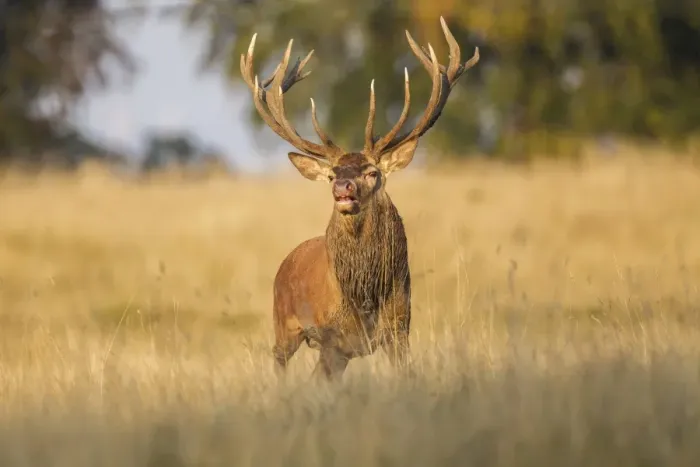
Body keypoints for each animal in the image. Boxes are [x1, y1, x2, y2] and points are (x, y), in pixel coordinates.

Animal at [240, 17, 479, 380]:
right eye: (331, 175)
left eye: (372, 172)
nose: (343, 189)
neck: (365, 296)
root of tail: (285, 261)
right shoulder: (330, 336)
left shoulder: (399, 327)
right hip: (284, 323)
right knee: (280, 363)